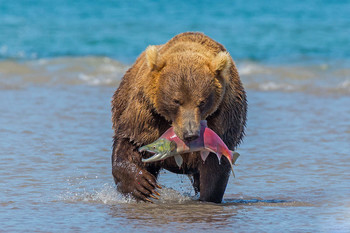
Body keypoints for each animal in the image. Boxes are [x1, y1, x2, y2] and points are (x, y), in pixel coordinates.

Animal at [111, 31, 246, 203]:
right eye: (176, 100)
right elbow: (131, 141)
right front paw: (142, 185)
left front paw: (207, 196)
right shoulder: (147, 111)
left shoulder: (222, 116)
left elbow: (215, 164)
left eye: (201, 102)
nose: (190, 134)